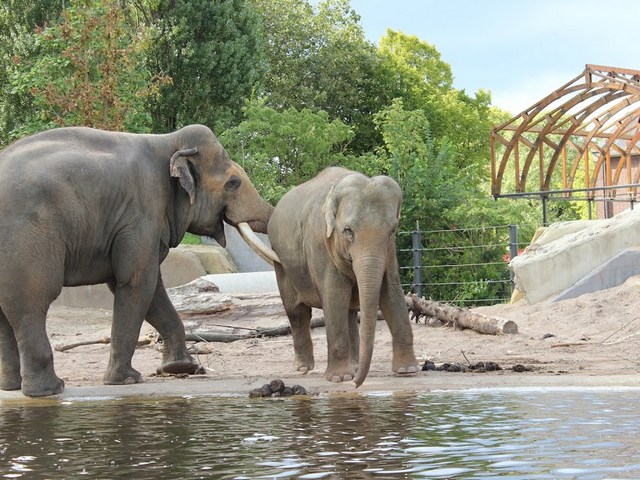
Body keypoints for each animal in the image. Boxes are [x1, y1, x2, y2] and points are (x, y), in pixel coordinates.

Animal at [0, 124, 280, 398]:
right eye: (233, 182)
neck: (168, 141)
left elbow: (153, 288)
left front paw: (181, 368)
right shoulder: (142, 212)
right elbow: (137, 282)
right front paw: (127, 380)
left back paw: (11, 387)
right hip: (29, 239)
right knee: (33, 301)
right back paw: (49, 390)